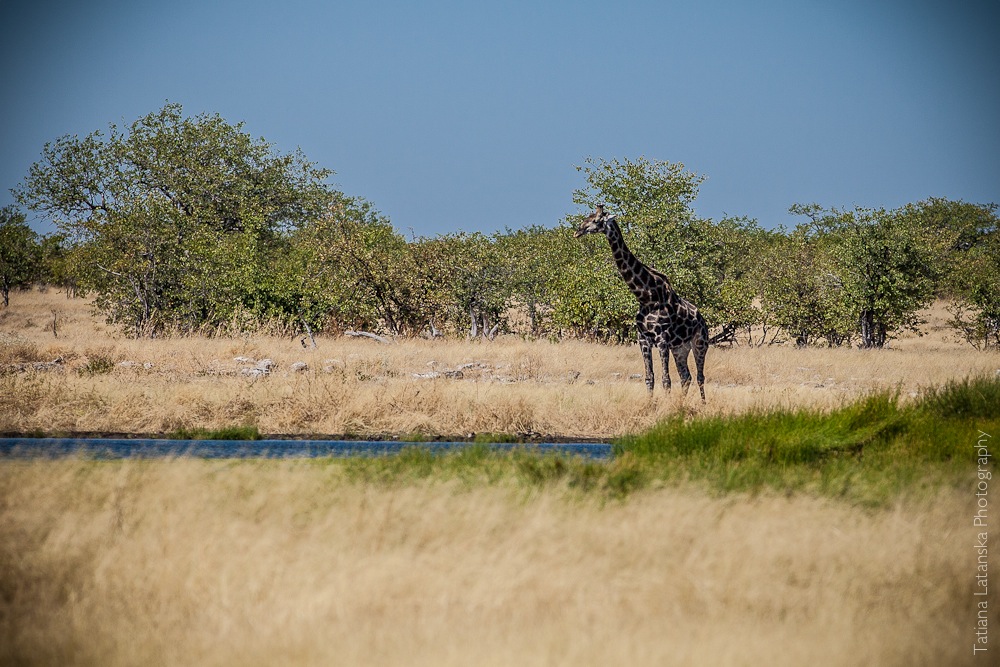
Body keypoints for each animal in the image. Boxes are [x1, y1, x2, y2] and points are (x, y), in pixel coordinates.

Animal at [576, 204, 708, 402]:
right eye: (587, 217)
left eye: (597, 220)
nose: (578, 231)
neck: (646, 296)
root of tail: (702, 319)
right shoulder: (643, 339)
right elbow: (649, 378)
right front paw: (651, 405)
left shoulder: (662, 339)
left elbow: (666, 380)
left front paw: (667, 406)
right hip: (680, 348)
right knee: (686, 377)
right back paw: (683, 402)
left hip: (700, 343)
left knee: (700, 376)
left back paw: (702, 404)